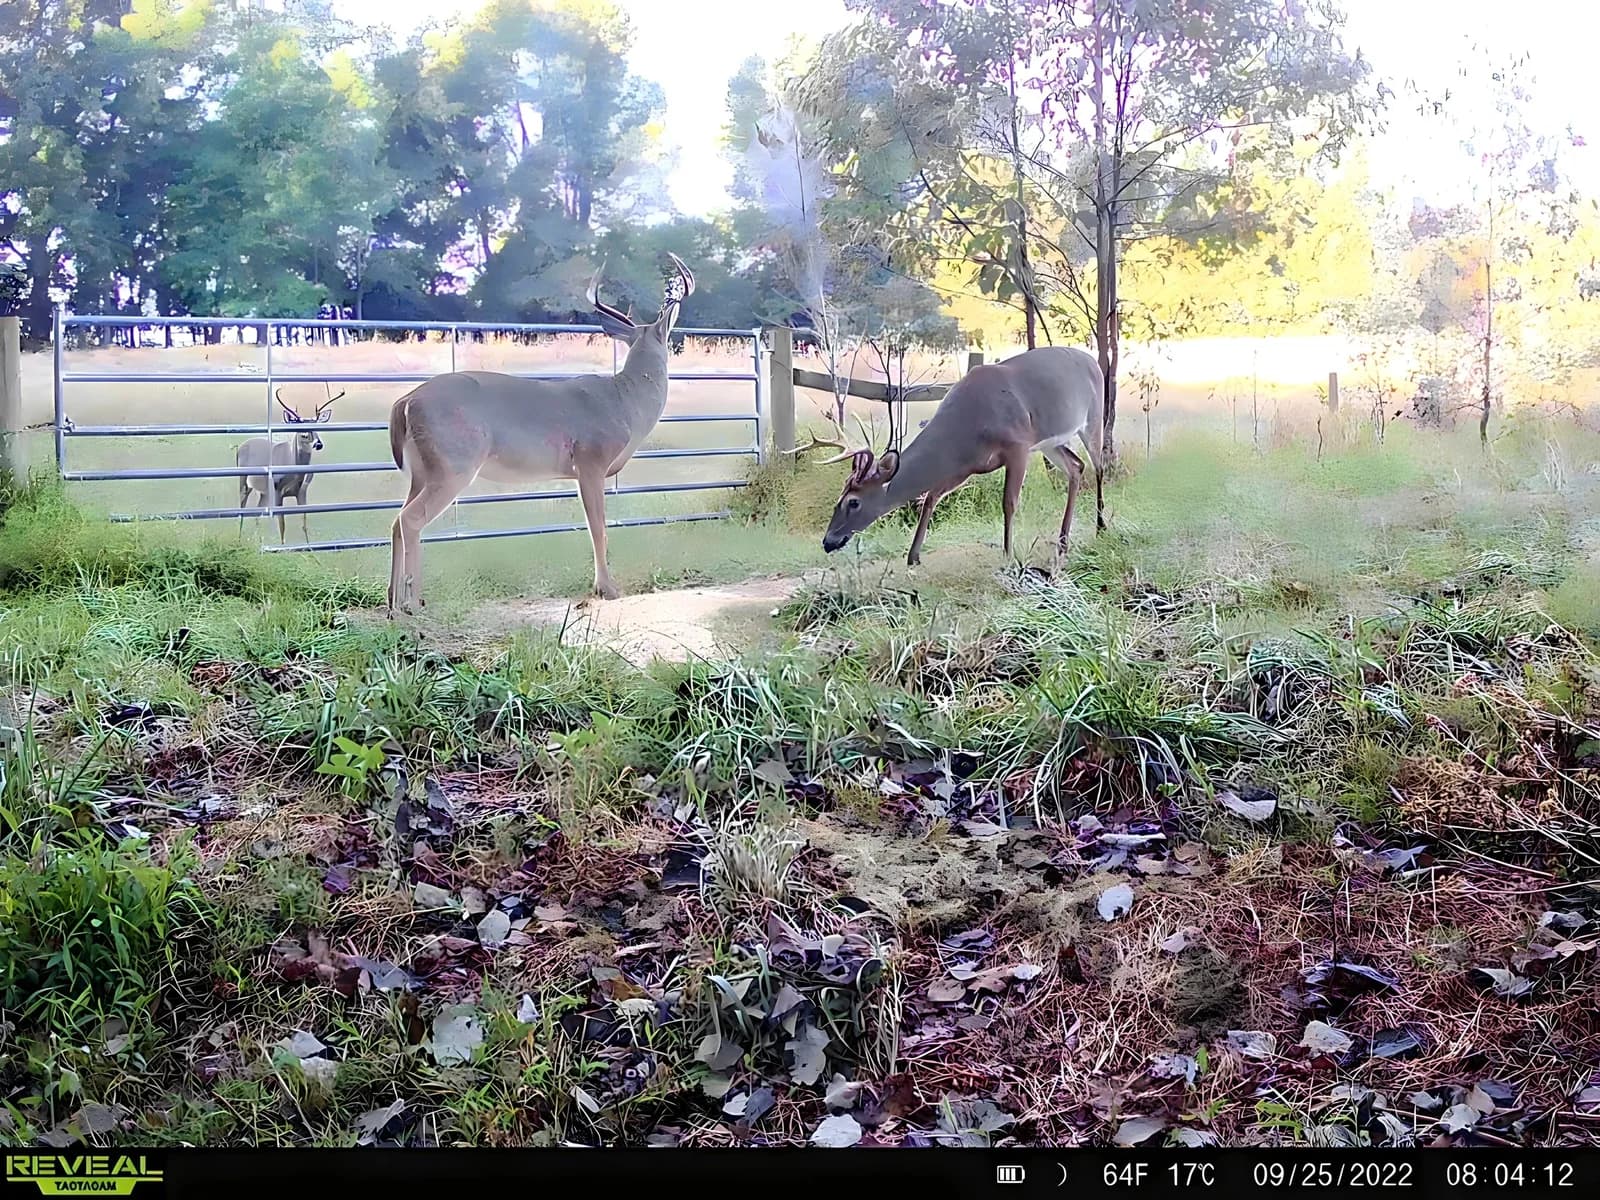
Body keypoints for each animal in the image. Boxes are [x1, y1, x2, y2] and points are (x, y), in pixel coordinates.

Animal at [235, 387, 340, 543]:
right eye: (302, 431)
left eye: (316, 426)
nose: (318, 444)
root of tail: (241, 446)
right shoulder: (278, 489)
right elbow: (281, 524)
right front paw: (283, 545)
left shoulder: (302, 491)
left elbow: (304, 522)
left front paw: (309, 547)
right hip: (244, 480)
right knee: (242, 508)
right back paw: (239, 538)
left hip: (264, 491)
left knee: (257, 513)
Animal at [385, 253, 696, 614]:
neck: (626, 403)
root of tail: (406, 402)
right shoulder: (590, 460)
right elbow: (598, 527)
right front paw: (607, 588)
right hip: (453, 464)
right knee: (410, 519)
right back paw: (411, 603)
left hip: (422, 470)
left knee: (396, 521)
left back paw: (392, 601)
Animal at [812, 345, 1107, 568]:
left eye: (853, 502)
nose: (827, 541)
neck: (967, 428)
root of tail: (1093, 360)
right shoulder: (964, 466)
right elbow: (931, 497)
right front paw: (913, 557)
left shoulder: (1018, 445)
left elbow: (1009, 502)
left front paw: (1007, 555)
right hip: (1050, 443)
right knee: (1076, 466)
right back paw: (1063, 542)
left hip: (1093, 417)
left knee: (1099, 466)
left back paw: (1101, 527)